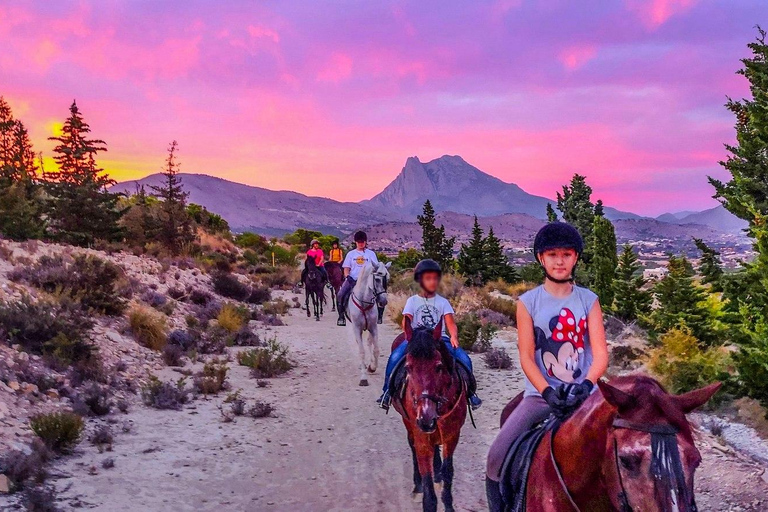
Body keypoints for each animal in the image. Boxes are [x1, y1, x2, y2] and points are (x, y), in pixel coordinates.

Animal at [390, 318, 468, 510]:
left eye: (439, 367)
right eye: (408, 367)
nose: (426, 418)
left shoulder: (452, 435)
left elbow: (448, 472)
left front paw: (448, 504)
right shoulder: (421, 438)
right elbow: (427, 484)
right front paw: (422, 489)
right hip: (409, 424)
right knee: (412, 447)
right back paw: (417, 486)